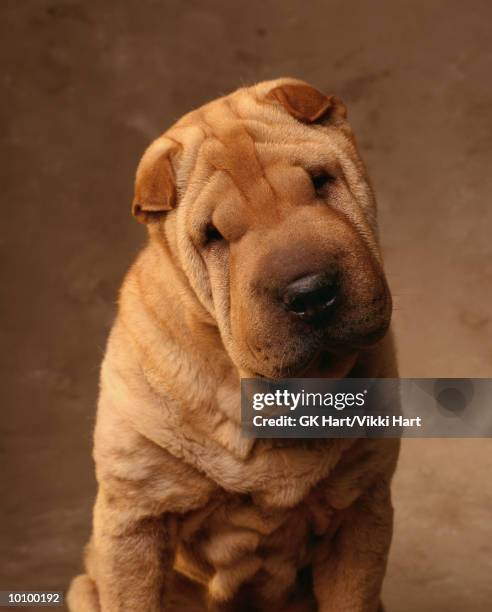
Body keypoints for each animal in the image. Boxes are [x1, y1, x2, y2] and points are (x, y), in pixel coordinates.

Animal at [68, 77, 400, 612]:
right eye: (214, 235)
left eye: (319, 183)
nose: (311, 293)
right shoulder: (136, 518)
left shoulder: (361, 505)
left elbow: (352, 595)